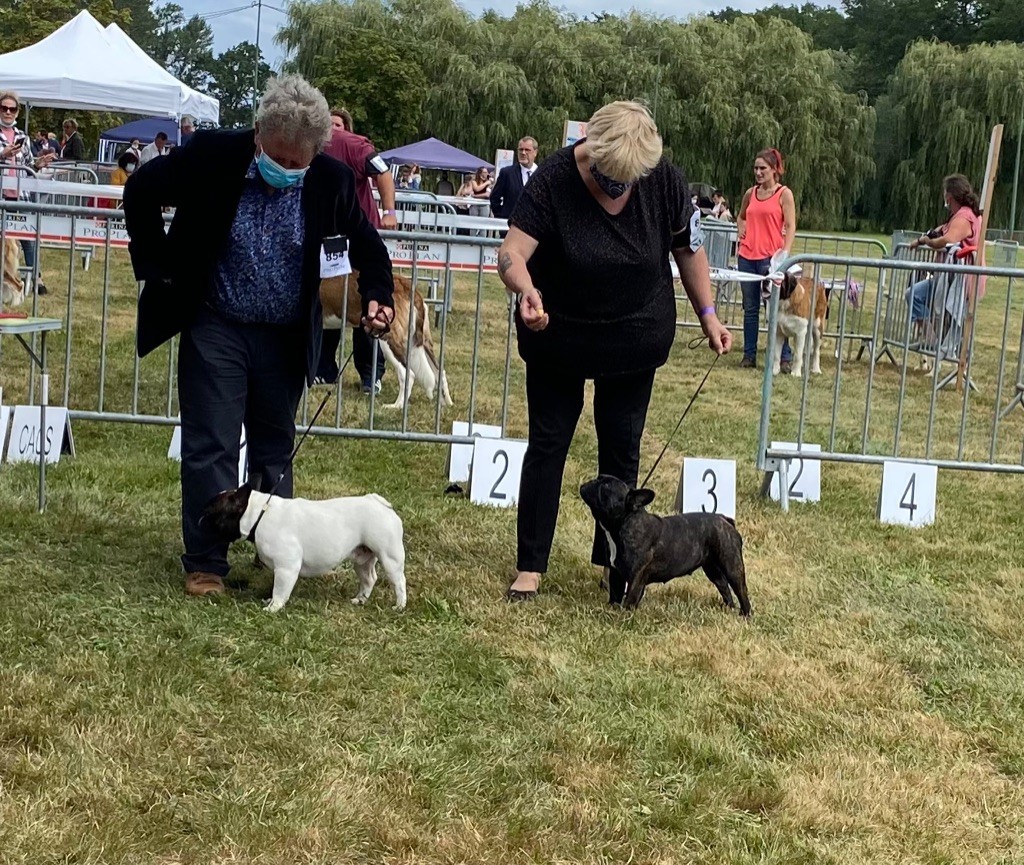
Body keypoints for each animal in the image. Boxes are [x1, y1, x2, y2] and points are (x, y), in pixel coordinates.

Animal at [317, 272, 450, 409]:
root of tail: (407, 285)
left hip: (389, 340)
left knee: (407, 374)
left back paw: (396, 406)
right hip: (422, 341)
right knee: (439, 372)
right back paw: (445, 403)